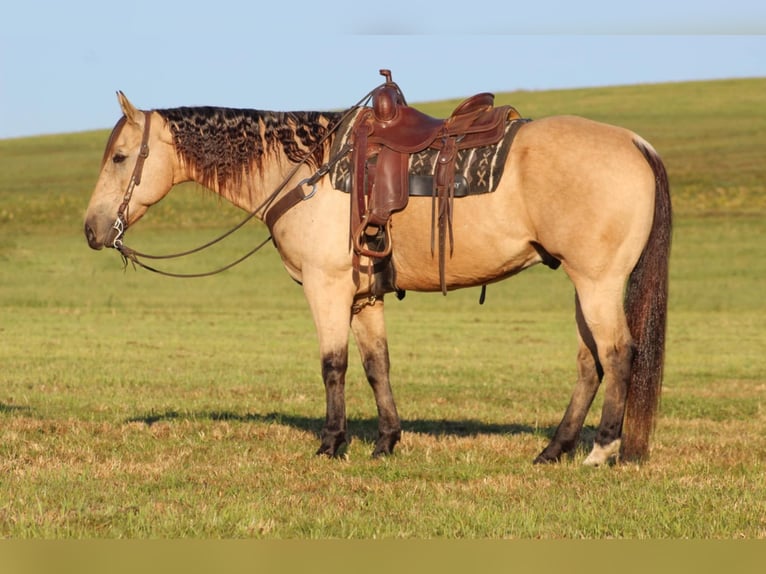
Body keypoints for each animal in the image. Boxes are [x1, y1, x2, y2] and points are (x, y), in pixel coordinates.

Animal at [85, 72, 672, 468]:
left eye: (119, 157)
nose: (92, 230)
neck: (307, 171)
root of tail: (636, 143)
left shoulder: (325, 286)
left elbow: (333, 364)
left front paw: (331, 442)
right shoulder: (365, 296)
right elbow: (376, 365)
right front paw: (387, 440)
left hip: (596, 283)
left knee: (617, 354)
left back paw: (601, 450)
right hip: (585, 284)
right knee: (589, 362)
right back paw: (554, 449)